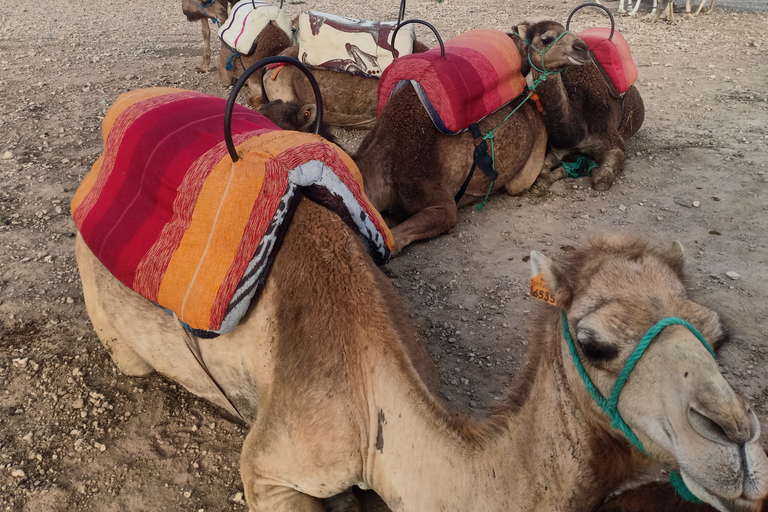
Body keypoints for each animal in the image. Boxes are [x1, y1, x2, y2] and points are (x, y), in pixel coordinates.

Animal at [524, 21, 644, 192]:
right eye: (546, 39)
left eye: (566, 30)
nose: (582, 48)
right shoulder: (558, 150)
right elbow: (542, 174)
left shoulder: (615, 144)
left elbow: (601, 179)